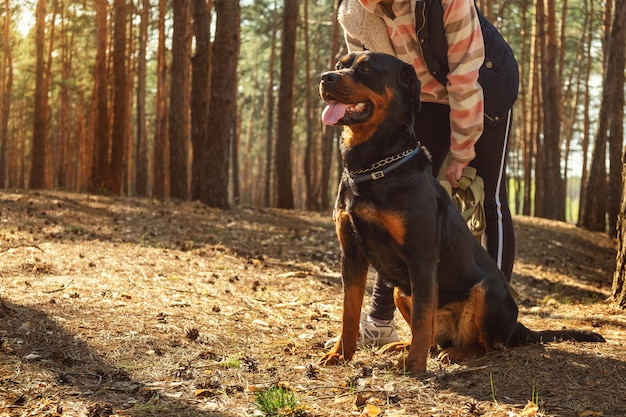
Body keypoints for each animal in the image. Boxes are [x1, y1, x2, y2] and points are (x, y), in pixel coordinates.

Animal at [316, 52, 600, 374]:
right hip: (404, 291)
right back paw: (403, 345)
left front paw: (414, 365)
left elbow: (422, 316)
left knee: (488, 346)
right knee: (430, 335)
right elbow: (349, 312)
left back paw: (455, 352)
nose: (325, 77)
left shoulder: (421, 256)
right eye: (340, 66)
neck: (374, 166)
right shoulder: (351, 254)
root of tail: (517, 326)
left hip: (487, 290)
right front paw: (340, 354)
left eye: (365, 68)